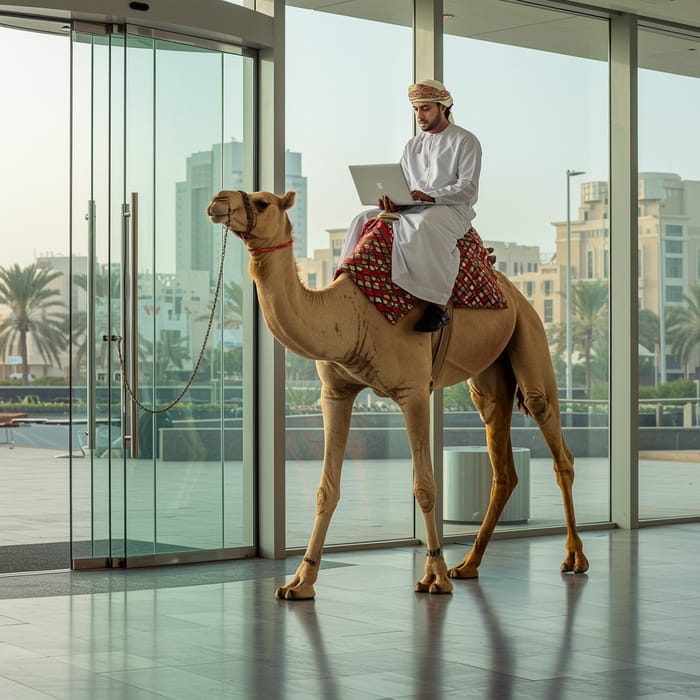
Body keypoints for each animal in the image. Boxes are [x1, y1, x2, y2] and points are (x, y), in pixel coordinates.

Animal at [205, 189, 588, 600]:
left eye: (262, 202)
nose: (218, 200)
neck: (352, 315)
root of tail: (514, 291)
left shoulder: (414, 391)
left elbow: (426, 487)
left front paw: (434, 576)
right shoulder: (335, 392)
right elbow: (326, 489)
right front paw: (299, 582)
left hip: (530, 336)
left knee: (555, 442)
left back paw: (574, 558)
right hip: (489, 378)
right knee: (503, 466)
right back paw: (468, 564)